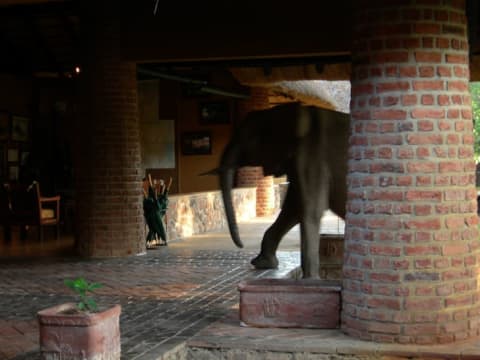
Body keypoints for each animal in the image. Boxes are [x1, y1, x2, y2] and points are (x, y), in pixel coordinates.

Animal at [218, 101, 348, 278]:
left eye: (251, 137)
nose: (241, 245)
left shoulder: (312, 156)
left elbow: (310, 210)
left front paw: (311, 280)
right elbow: (293, 209)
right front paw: (263, 264)